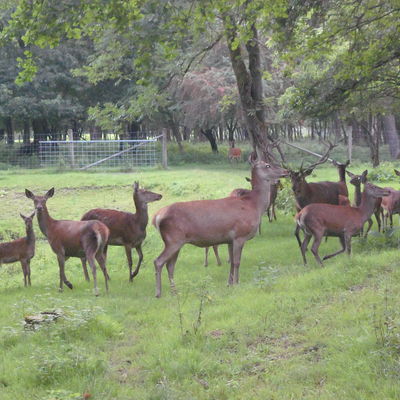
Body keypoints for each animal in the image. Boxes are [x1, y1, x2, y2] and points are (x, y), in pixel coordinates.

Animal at [152, 159, 288, 296]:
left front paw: (229, 284)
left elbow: (231, 262)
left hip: (176, 242)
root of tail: (156, 217)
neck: (254, 205)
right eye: (268, 165)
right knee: (158, 261)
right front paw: (237, 284)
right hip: (173, 239)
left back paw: (175, 292)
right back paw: (158, 293)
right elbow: (237, 262)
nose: (286, 171)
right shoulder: (240, 235)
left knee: (170, 265)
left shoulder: (230, 240)